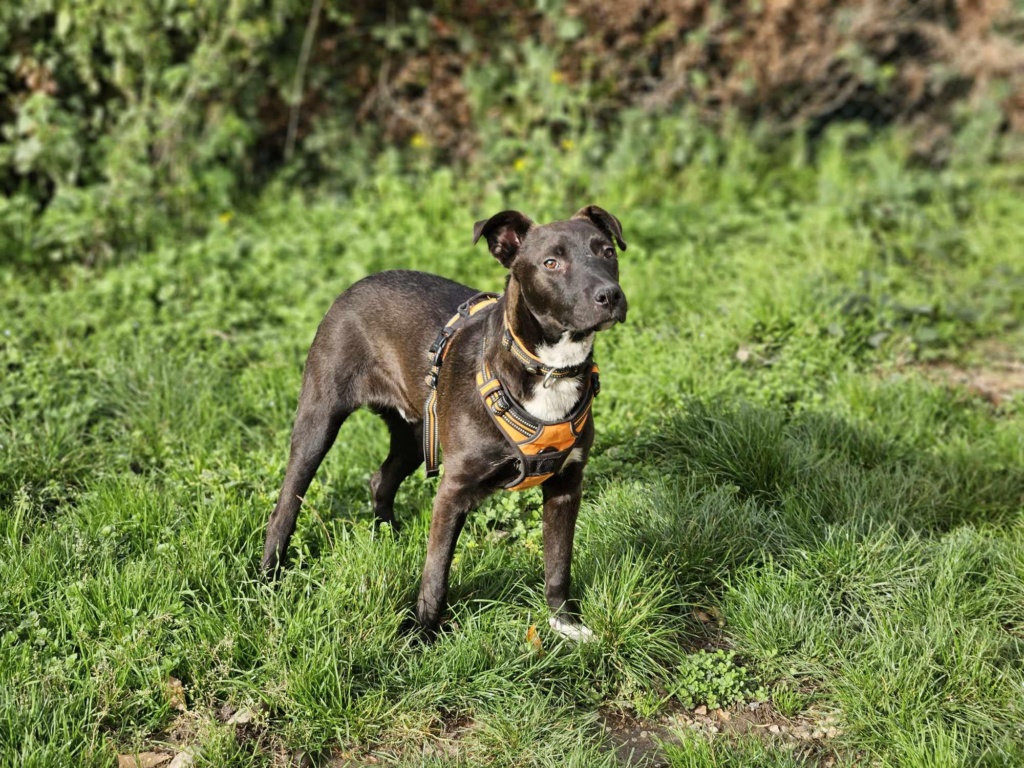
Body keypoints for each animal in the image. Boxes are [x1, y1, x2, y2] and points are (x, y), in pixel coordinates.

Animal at [260, 205, 626, 643]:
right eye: (551, 263)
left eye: (607, 251)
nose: (610, 295)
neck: (547, 370)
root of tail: (358, 283)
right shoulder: (453, 490)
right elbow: (436, 571)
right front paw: (421, 635)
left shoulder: (566, 486)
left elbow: (558, 563)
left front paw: (564, 624)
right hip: (318, 421)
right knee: (286, 506)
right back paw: (266, 581)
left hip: (415, 434)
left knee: (381, 480)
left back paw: (388, 537)